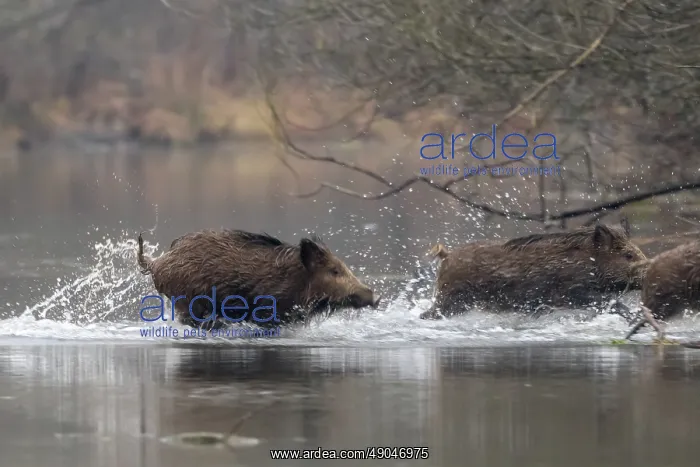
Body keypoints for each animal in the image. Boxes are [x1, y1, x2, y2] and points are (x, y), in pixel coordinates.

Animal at [420, 219, 647, 319]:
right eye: (628, 255)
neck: (589, 263)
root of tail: (447, 255)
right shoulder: (571, 291)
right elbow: (610, 302)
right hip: (449, 299)